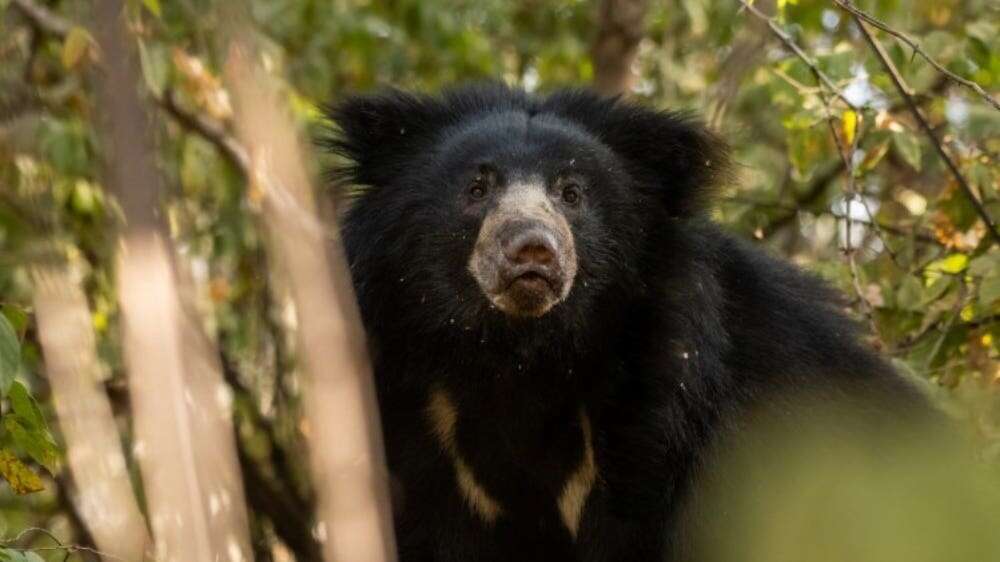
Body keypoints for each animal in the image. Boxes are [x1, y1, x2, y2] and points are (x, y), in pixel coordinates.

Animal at [328, 84, 928, 560]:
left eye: (572, 193)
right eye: (477, 189)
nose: (532, 250)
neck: (522, 355)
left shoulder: (676, 415)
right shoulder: (418, 418)